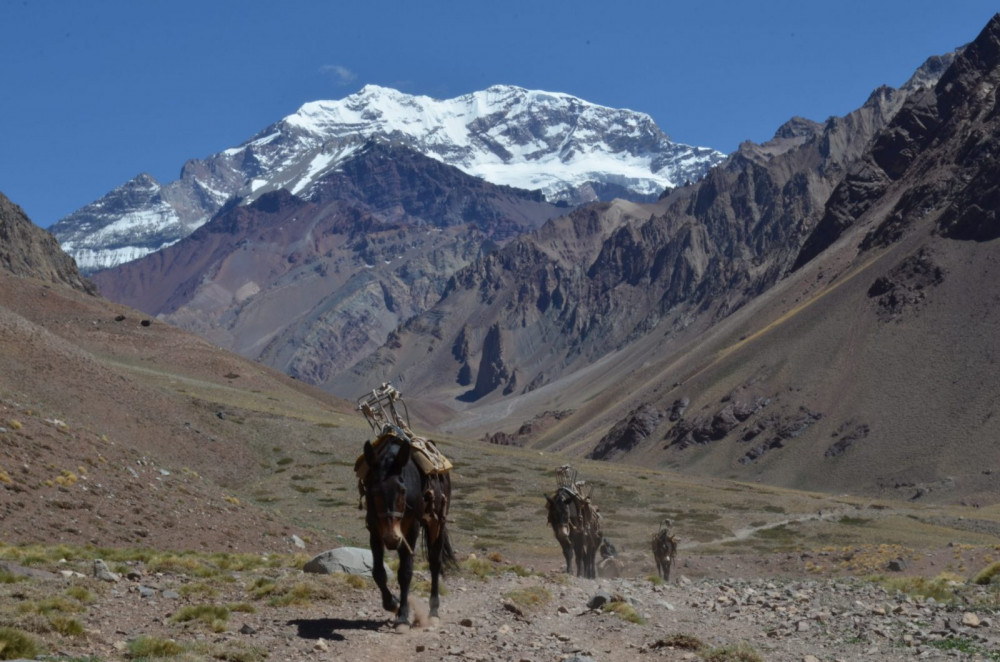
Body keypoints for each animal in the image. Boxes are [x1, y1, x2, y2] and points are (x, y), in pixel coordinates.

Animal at [362, 438, 456, 632]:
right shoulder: (375, 531)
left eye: (403, 490)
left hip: (436, 523)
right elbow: (378, 572)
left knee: (435, 563)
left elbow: (405, 572)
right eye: (374, 491)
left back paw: (433, 612)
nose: (392, 539)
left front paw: (403, 617)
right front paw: (393, 604)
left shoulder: (411, 529)